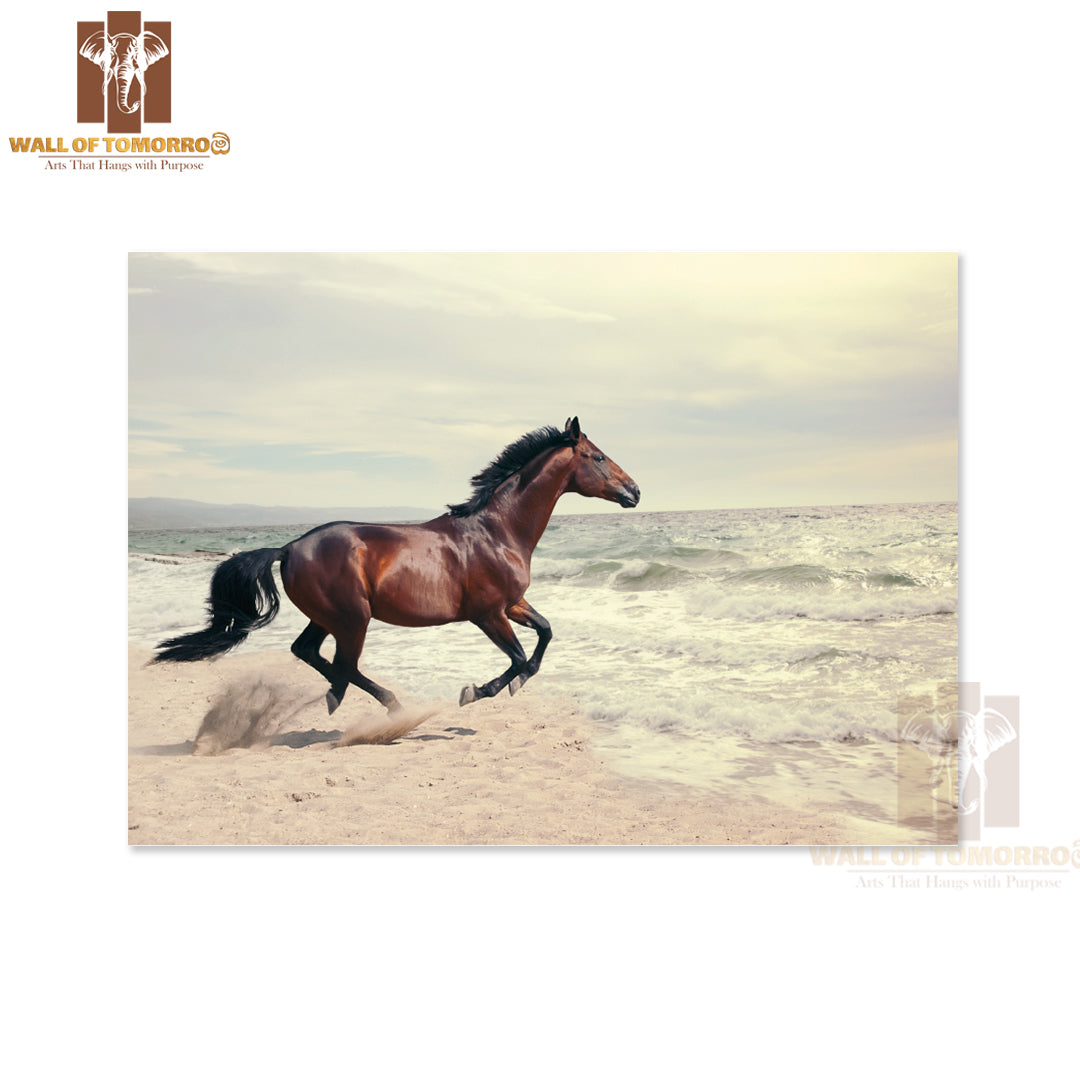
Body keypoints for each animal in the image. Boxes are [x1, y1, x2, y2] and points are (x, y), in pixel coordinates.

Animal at [152, 418, 640, 715]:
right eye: (597, 456)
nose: (635, 491)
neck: (497, 530)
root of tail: (288, 547)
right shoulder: (487, 614)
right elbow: (519, 656)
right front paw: (476, 692)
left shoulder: (513, 603)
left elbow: (544, 635)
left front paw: (510, 685)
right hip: (353, 617)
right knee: (341, 663)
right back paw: (380, 704)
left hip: (329, 617)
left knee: (310, 652)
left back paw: (350, 698)